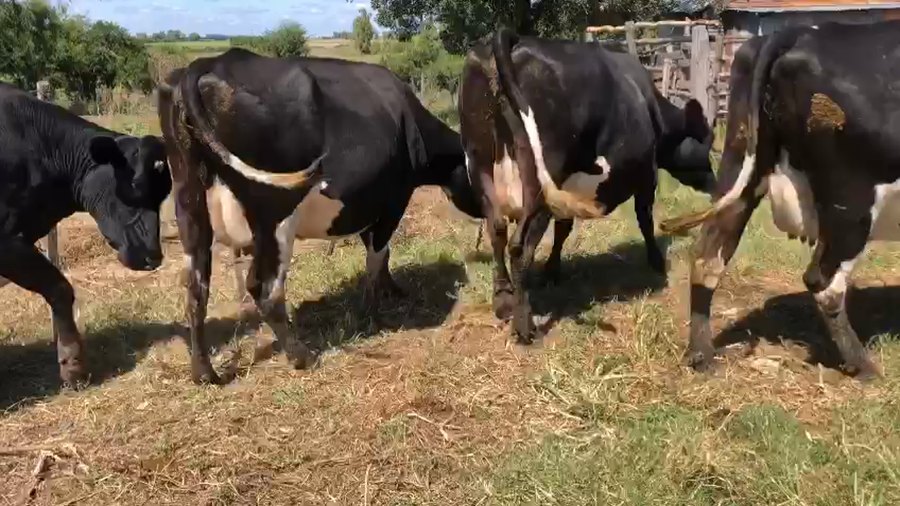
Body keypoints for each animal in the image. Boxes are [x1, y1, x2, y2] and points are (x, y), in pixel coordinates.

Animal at [0, 82, 171, 386]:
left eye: (165, 193)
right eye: (135, 186)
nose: (153, 256)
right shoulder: (7, 240)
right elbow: (59, 288)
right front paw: (72, 363)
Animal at [157, 48, 481, 384]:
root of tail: (210, 62)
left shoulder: (367, 203)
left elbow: (380, 252)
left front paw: (391, 289)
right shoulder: (393, 202)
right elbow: (377, 254)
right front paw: (372, 311)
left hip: (190, 207)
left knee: (195, 288)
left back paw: (204, 372)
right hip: (275, 216)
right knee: (265, 288)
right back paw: (302, 356)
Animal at [458, 27, 714, 343]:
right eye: (707, 141)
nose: (715, 182)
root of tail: (510, 38)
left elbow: (563, 229)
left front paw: (552, 271)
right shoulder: (646, 174)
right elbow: (644, 218)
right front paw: (656, 261)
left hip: (479, 162)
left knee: (497, 229)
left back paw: (503, 300)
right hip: (538, 180)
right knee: (520, 248)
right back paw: (524, 326)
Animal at [659, 20, 900, 381]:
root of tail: (798, 31)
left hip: (741, 163)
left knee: (707, 256)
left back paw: (701, 355)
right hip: (850, 202)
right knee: (823, 282)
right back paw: (863, 366)